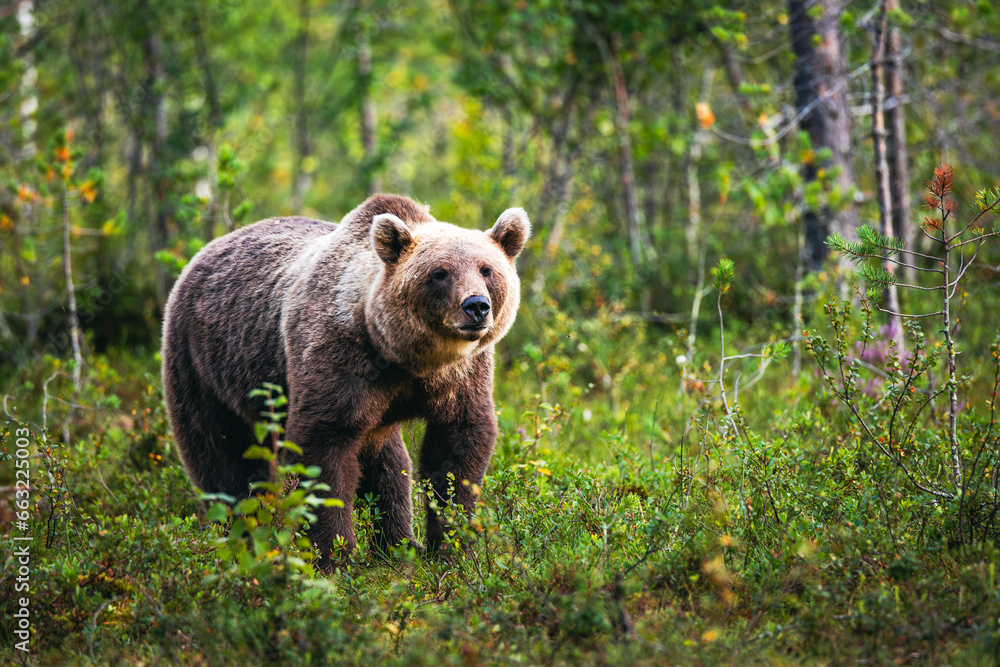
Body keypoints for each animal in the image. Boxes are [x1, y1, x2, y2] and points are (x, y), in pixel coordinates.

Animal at [161, 194, 530, 564]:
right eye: (440, 273)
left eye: (487, 269)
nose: (476, 306)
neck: (406, 355)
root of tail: (205, 251)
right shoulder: (340, 359)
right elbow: (323, 446)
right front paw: (335, 555)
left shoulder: (461, 376)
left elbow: (457, 447)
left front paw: (452, 547)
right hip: (205, 363)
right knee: (221, 454)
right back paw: (239, 535)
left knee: (388, 465)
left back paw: (398, 544)